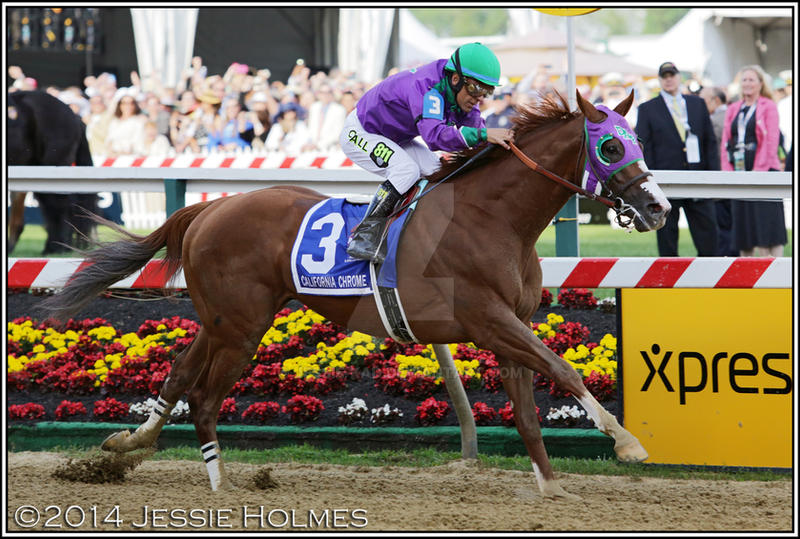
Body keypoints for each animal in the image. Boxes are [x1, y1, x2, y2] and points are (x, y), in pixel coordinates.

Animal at [40, 90, 672, 500]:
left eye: (637, 140)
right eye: (610, 148)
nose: (659, 208)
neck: (494, 219)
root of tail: (210, 208)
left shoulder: (508, 326)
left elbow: (526, 411)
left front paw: (550, 488)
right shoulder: (489, 320)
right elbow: (562, 369)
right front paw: (627, 443)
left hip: (225, 318)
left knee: (177, 376)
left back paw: (129, 442)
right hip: (242, 327)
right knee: (203, 396)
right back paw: (219, 485)